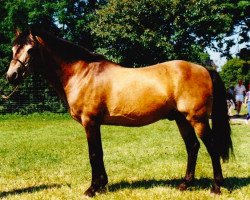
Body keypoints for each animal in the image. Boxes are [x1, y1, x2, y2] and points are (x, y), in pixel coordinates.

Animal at [5, 28, 232, 196]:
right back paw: (185, 184)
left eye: (31, 49)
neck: (82, 74)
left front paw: (92, 189)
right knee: (192, 147)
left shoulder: (90, 122)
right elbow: (99, 153)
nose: (11, 76)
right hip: (182, 120)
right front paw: (102, 185)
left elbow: (94, 154)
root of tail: (205, 69)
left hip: (198, 119)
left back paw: (216, 187)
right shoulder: (94, 124)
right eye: (14, 48)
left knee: (211, 147)